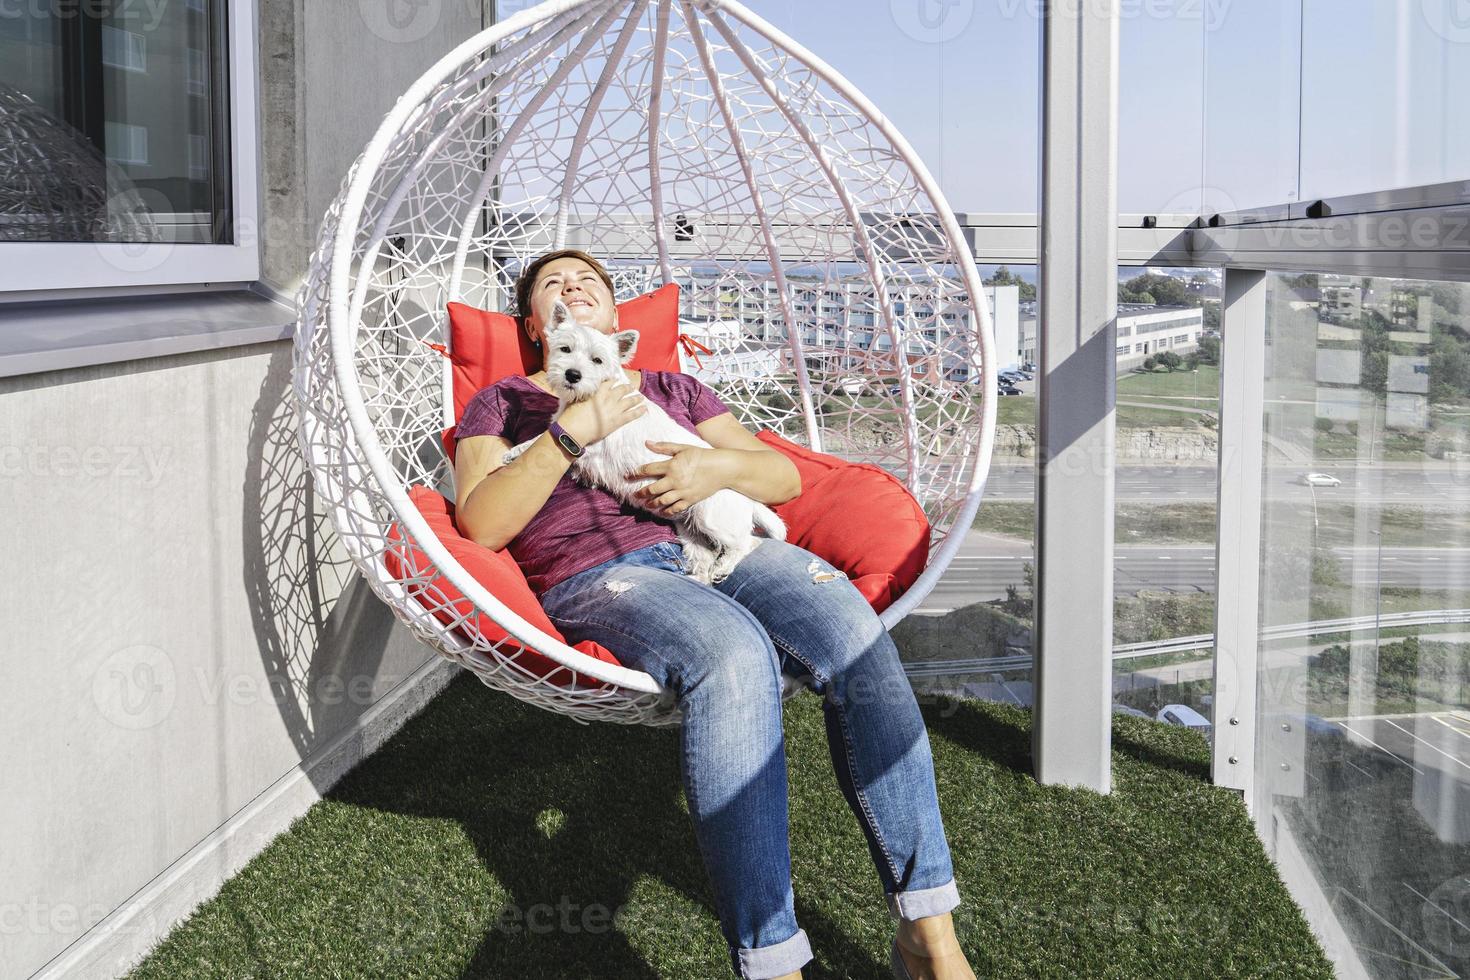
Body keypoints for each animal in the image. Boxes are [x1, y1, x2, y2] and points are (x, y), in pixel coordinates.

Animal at [502, 301, 787, 581]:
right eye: (565, 349)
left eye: (597, 360)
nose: (573, 375)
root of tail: (749, 500)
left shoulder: (592, 445)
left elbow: (543, 439)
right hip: (689, 527)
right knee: (705, 556)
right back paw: (700, 578)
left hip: (713, 519)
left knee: (748, 543)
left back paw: (724, 567)